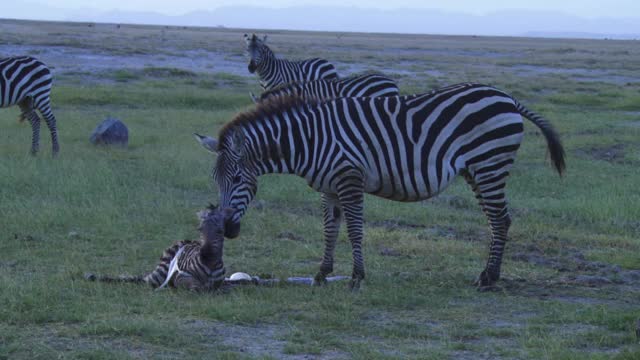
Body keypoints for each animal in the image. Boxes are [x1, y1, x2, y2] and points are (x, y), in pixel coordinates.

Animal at [85, 205, 232, 292]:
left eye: (220, 231)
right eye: (199, 229)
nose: (206, 254)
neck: (210, 265)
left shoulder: (217, 284)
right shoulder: (181, 278)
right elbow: (194, 287)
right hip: (163, 270)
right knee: (147, 281)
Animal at [196, 83, 564, 292]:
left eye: (238, 180)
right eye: (216, 181)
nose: (228, 231)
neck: (309, 140)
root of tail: (507, 97)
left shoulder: (349, 179)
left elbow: (355, 230)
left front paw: (357, 277)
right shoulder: (328, 188)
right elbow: (330, 230)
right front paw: (321, 273)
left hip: (490, 164)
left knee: (500, 220)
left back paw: (489, 279)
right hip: (478, 170)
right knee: (496, 220)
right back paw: (488, 274)